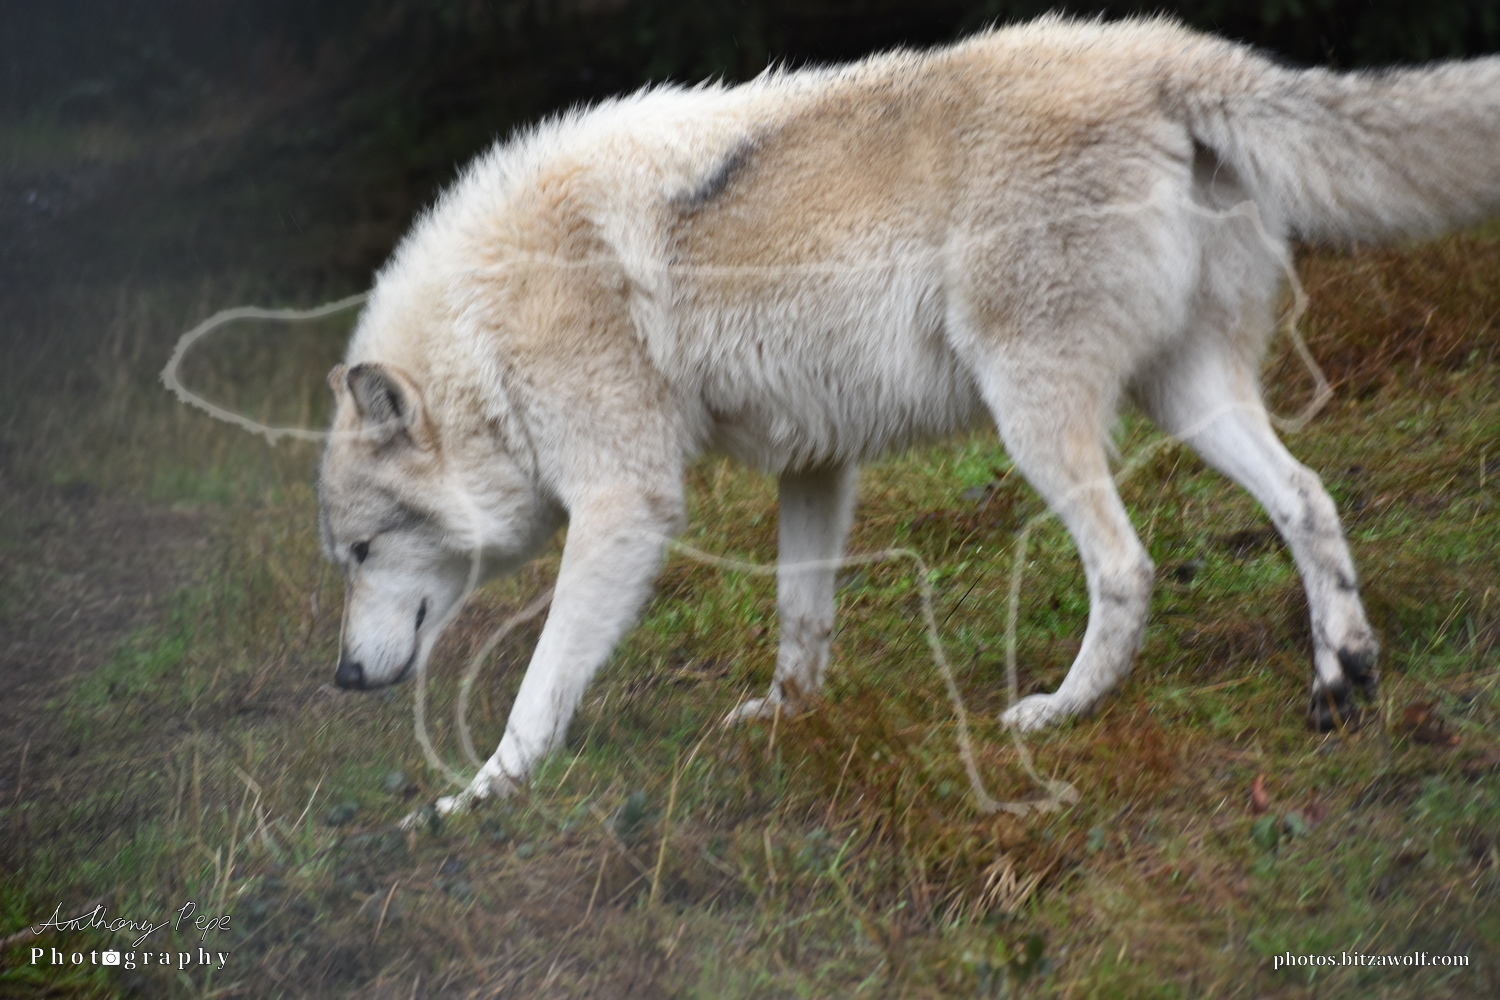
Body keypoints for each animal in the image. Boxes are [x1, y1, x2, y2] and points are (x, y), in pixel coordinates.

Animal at [318, 16, 1500, 815]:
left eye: (362, 551)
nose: (342, 677)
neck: (482, 329)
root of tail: (1162, 53)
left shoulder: (625, 507)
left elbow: (539, 682)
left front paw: (481, 793)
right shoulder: (814, 465)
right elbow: (801, 623)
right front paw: (791, 722)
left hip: (1039, 419)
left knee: (1127, 568)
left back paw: (1061, 711)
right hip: (1191, 399)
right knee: (1307, 499)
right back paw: (1343, 677)